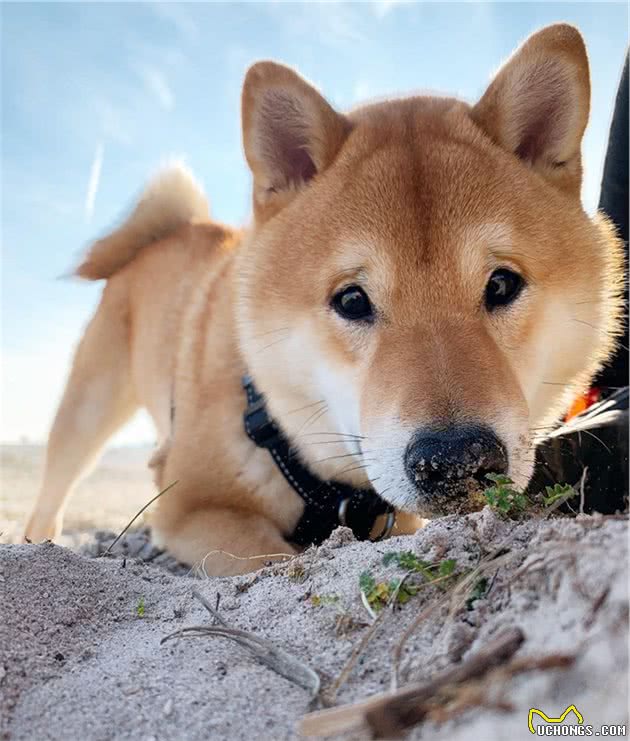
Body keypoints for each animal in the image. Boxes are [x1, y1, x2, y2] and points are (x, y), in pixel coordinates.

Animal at [25, 24, 628, 572]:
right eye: (352, 300)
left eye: (501, 285)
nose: (457, 460)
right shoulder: (190, 507)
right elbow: (269, 562)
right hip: (87, 409)